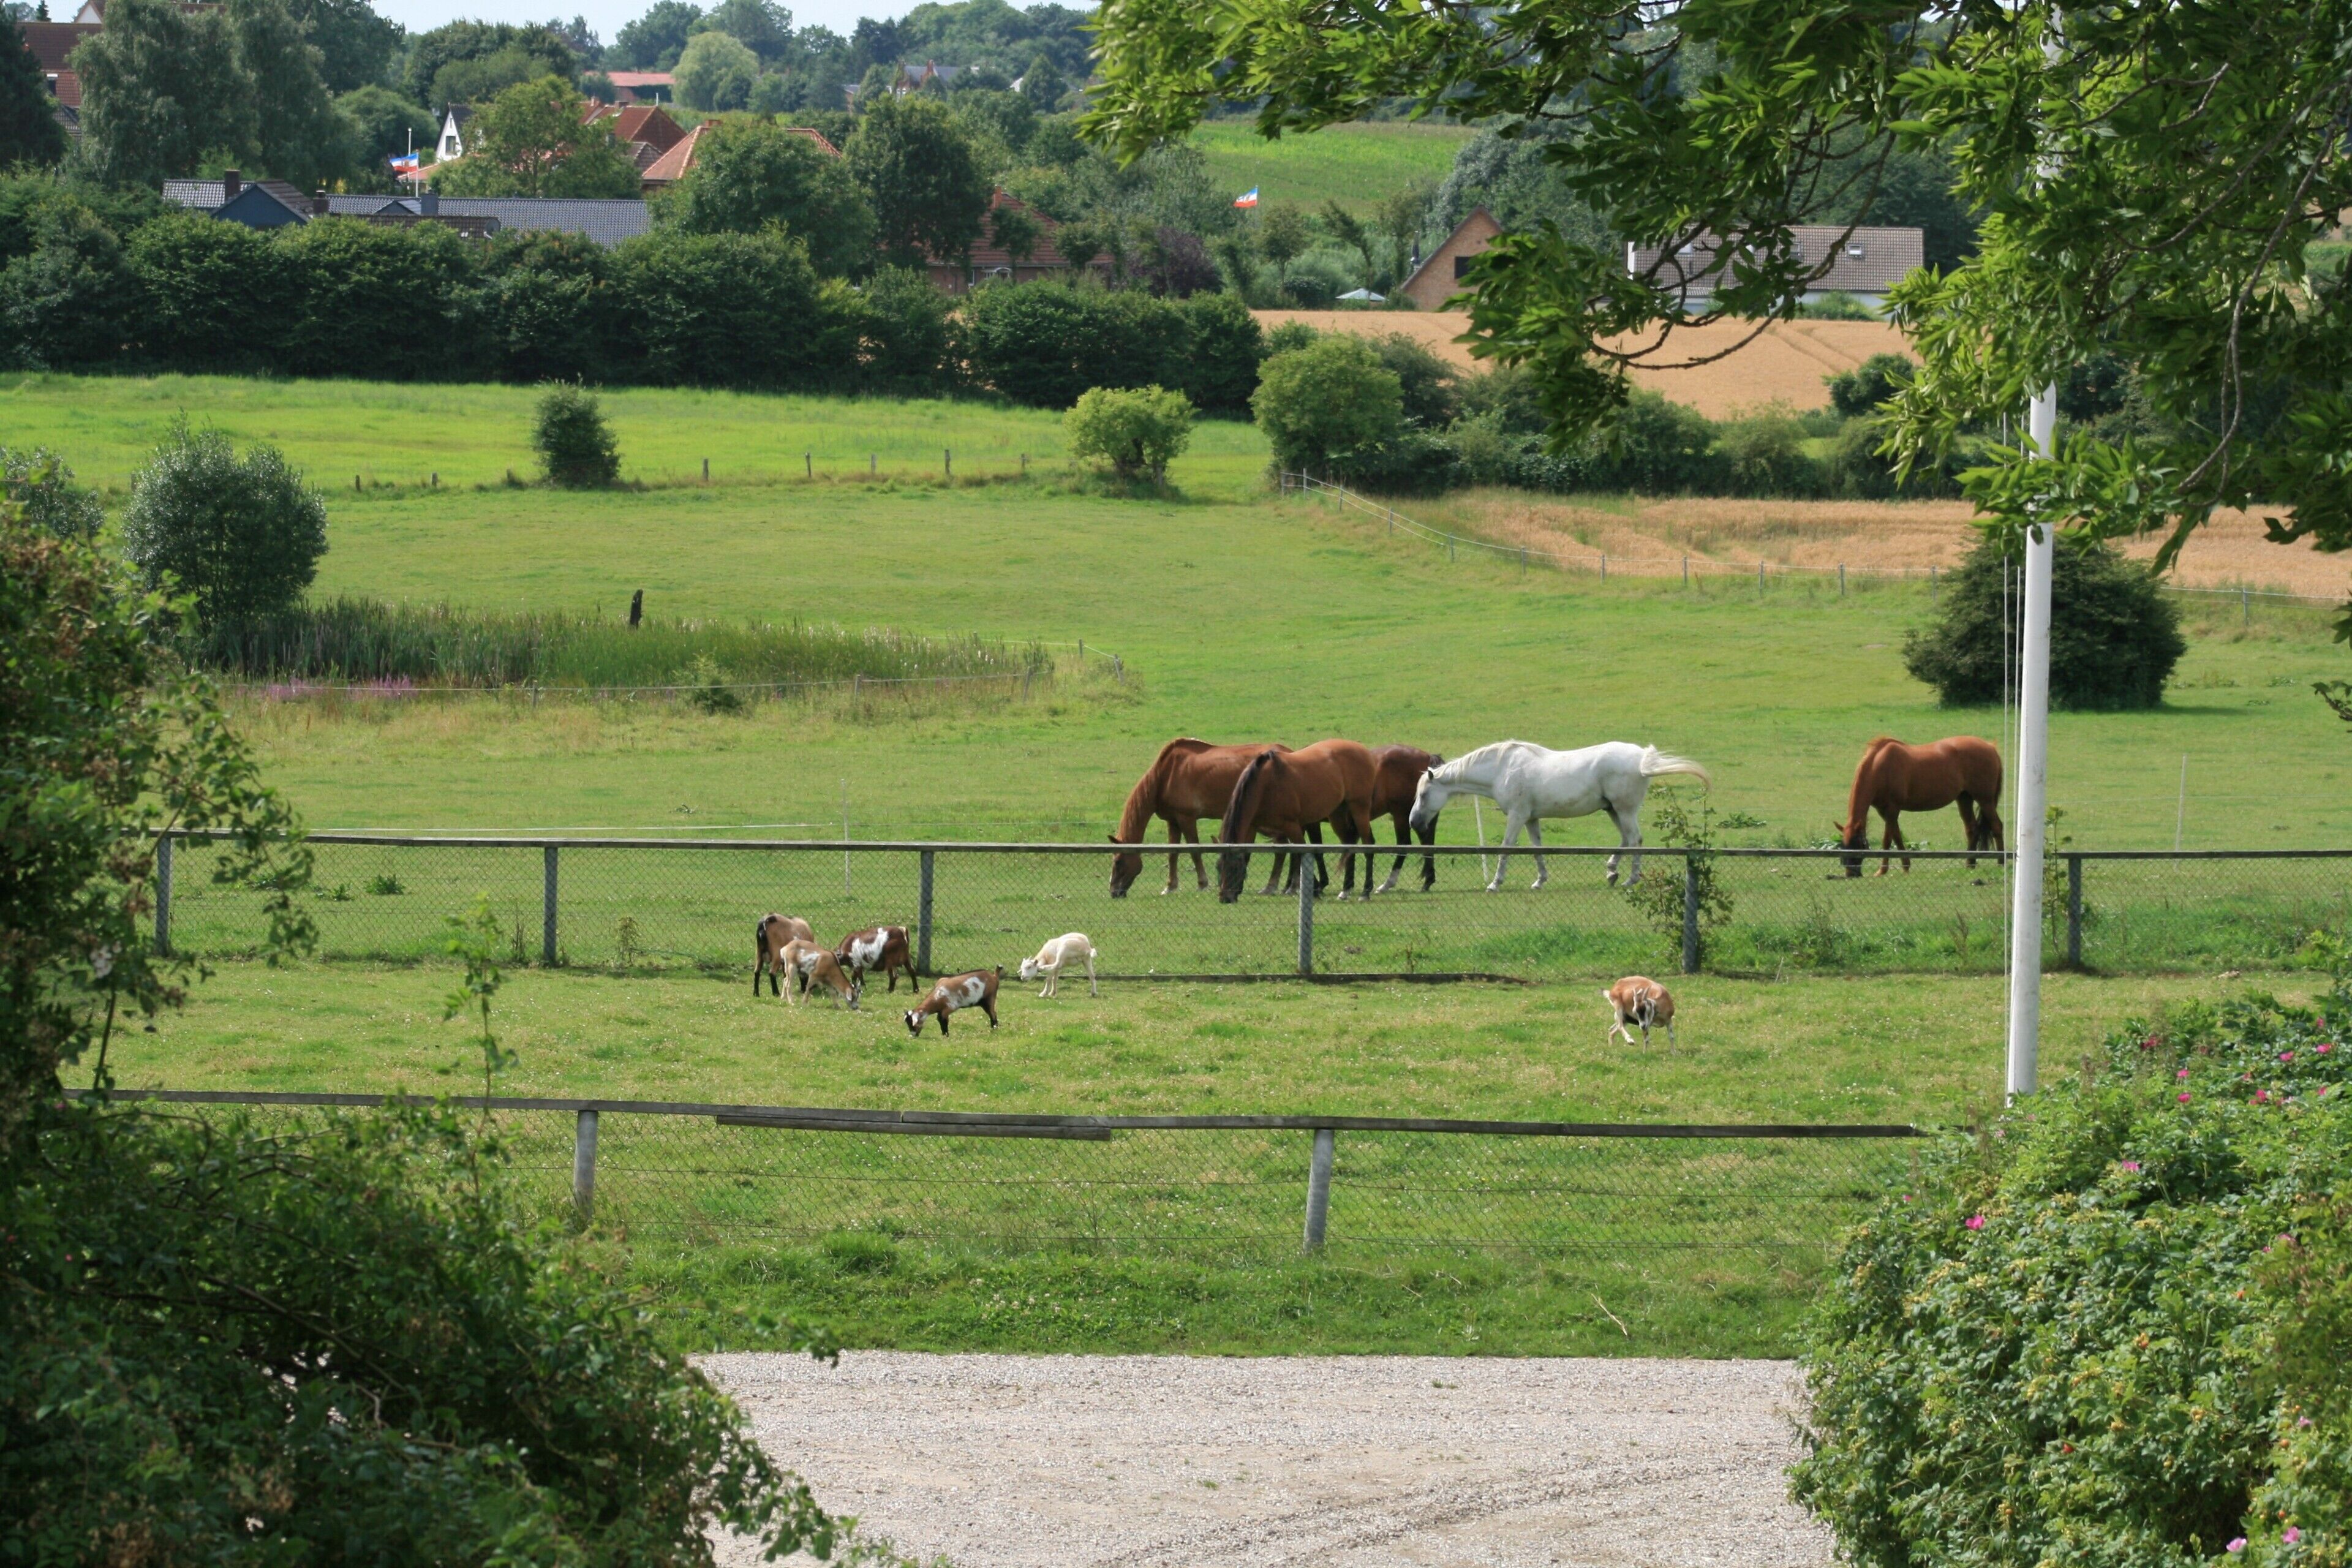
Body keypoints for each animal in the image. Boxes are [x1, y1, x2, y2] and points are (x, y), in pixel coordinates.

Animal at [1110, 738, 1294, 897]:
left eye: (1118, 861)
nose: (1113, 892)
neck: (1166, 775)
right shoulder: (1173, 821)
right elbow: (1173, 853)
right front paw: (1170, 886)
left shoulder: (1186, 818)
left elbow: (1195, 850)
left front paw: (1202, 883)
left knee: (1281, 851)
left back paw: (1274, 886)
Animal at [1215, 740, 1379, 903]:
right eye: (1218, 867)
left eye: (1234, 868)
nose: (1225, 898)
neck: (1266, 784)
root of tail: (1362, 749)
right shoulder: (1253, 826)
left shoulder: (1292, 826)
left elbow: (1301, 853)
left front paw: (1314, 888)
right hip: (1338, 814)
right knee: (1348, 845)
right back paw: (1346, 890)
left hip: (1359, 808)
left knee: (1368, 845)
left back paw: (1366, 891)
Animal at [1338, 745, 1445, 897]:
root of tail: (1427, 756)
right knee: (1427, 842)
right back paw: (1427, 882)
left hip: (1401, 815)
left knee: (1404, 844)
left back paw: (1387, 884)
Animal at [1408, 740, 1711, 889]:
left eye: (1423, 795)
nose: (1414, 822)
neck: (1501, 769)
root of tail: (1641, 759)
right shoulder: (1530, 819)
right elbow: (1537, 849)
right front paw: (1540, 880)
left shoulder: (1517, 817)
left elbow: (1506, 848)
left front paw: (1495, 883)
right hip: (1613, 810)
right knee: (1626, 840)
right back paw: (1612, 871)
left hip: (1624, 810)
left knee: (1635, 840)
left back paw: (1629, 879)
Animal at [1837, 736, 2004, 876]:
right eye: (1843, 846)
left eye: (1858, 845)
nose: (1851, 874)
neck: (1880, 767)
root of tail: (1990, 747)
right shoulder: (1884, 812)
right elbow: (1897, 836)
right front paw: (1906, 867)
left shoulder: (1892, 810)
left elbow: (1887, 840)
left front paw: (1882, 871)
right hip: (1964, 799)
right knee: (1972, 828)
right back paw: (1970, 863)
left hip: (1985, 800)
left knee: (1997, 826)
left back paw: (2000, 863)